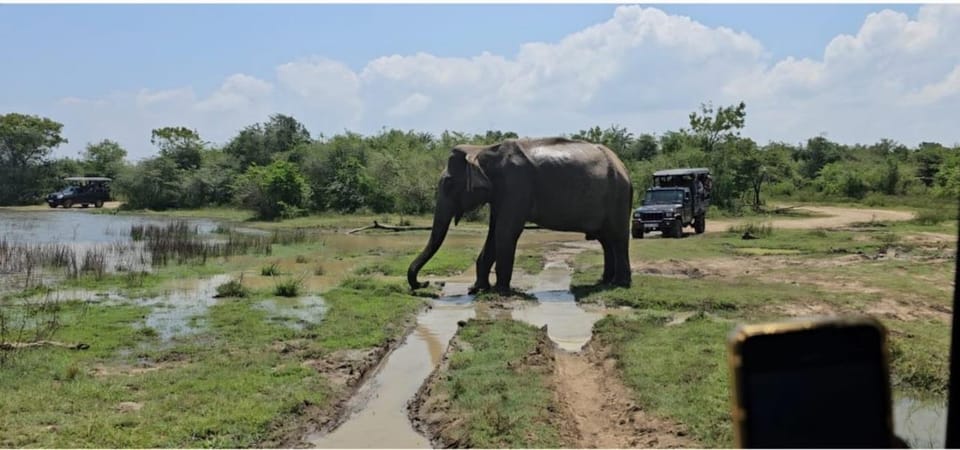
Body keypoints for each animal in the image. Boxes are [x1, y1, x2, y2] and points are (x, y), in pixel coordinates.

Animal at [408, 139, 632, 298]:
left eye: (448, 184)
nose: (424, 284)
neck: (482, 150)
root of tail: (623, 166)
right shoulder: (500, 194)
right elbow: (493, 232)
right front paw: (477, 289)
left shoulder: (516, 185)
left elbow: (506, 230)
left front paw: (499, 291)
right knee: (606, 240)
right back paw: (605, 281)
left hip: (618, 198)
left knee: (617, 238)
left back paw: (619, 284)